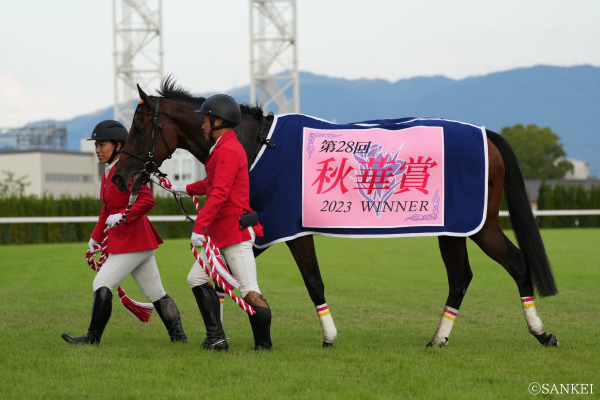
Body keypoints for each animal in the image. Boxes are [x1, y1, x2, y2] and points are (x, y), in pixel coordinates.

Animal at [113, 78, 564, 346]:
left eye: (139, 127)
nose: (119, 176)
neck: (255, 144)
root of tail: (486, 134)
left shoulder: (277, 229)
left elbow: (310, 282)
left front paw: (326, 334)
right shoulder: (260, 229)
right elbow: (220, 275)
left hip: (476, 225)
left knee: (515, 264)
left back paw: (541, 332)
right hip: (452, 229)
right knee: (462, 277)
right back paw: (440, 338)